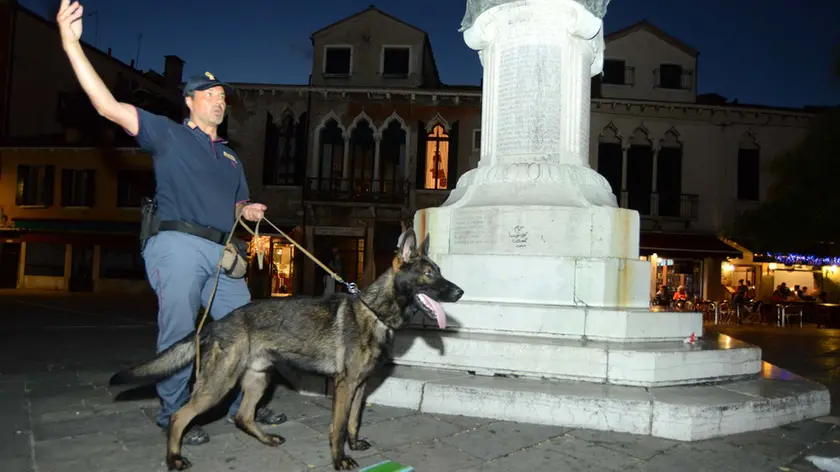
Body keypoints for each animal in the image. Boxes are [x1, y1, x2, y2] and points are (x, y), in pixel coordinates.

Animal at [108, 229, 462, 468]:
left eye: (440, 271)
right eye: (428, 273)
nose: (459, 292)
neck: (374, 311)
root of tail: (214, 324)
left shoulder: (361, 385)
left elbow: (353, 421)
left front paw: (354, 443)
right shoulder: (345, 385)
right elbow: (337, 427)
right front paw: (339, 459)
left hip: (257, 379)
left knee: (243, 416)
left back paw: (266, 439)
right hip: (219, 384)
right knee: (179, 417)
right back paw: (174, 458)